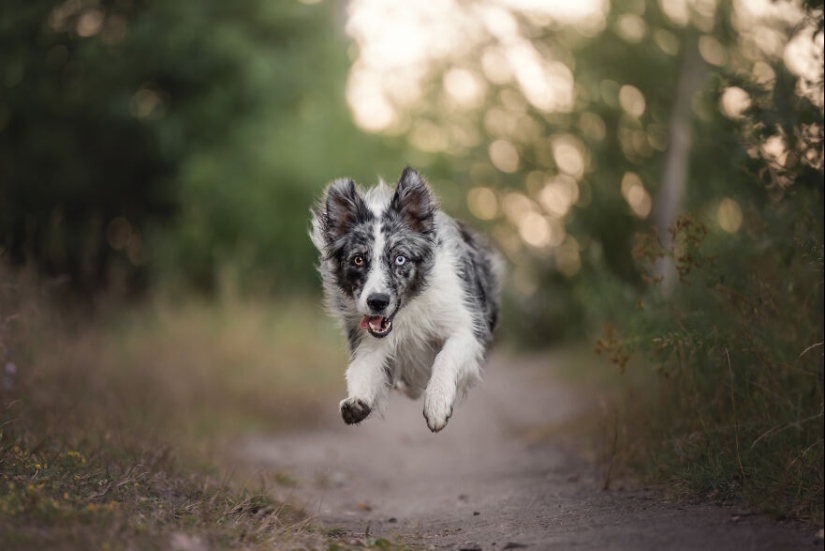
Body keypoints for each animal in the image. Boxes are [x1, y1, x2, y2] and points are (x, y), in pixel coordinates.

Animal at [308, 166, 502, 434]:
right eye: (358, 260)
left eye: (400, 259)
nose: (377, 301)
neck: (409, 309)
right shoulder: (368, 339)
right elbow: (360, 368)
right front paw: (357, 401)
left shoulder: (468, 327)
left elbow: (446, 357)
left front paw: (437, 405)